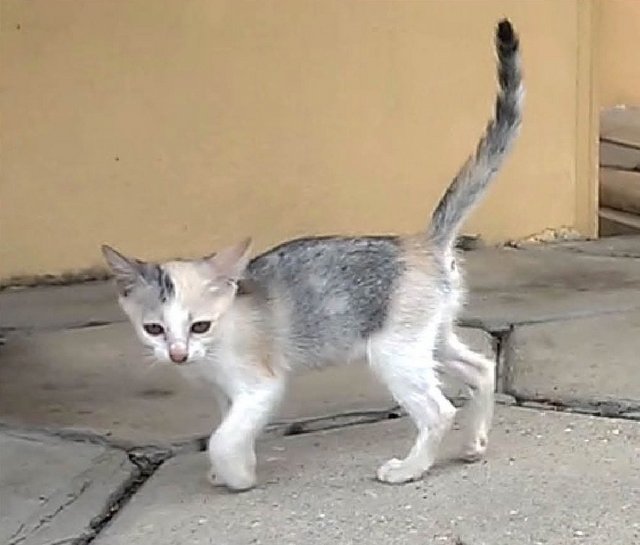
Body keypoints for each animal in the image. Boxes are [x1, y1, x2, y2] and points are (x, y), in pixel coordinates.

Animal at [104, 20, 524, 488]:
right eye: (154, 329)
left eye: (199, 325)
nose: (177, 354)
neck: (214, 347)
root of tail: (421, 241)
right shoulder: (225, 393)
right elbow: (230, 427)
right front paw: (234, 467)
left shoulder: (260, 384)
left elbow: (222, 438)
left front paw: (237, 475)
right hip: (428, 336)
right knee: (481, 369)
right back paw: (474, 443)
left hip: (393, 349)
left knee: (438, 410)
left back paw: (409, 468)